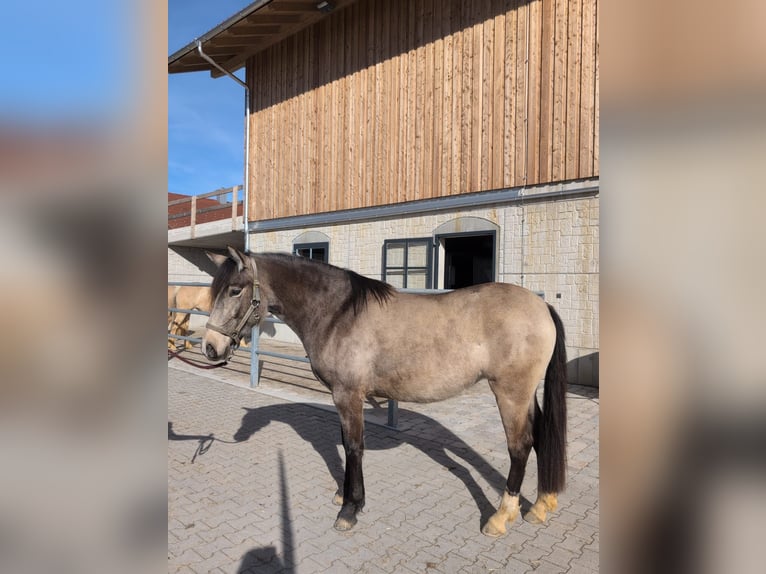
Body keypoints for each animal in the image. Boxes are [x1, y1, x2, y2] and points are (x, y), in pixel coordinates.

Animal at [203, 247, 567, 536]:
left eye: (234, 290)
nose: (211, 347)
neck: (338, 313)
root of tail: (542, 307)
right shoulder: (344, 398)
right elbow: (347, 443)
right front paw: (345, 496)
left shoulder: (348, 395)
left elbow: (353, 447)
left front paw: (350, 510)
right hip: (526, 395)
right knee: (539, 437)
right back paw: (540, 506)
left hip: (510, 393)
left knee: (520, 446)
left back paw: (501, 517)